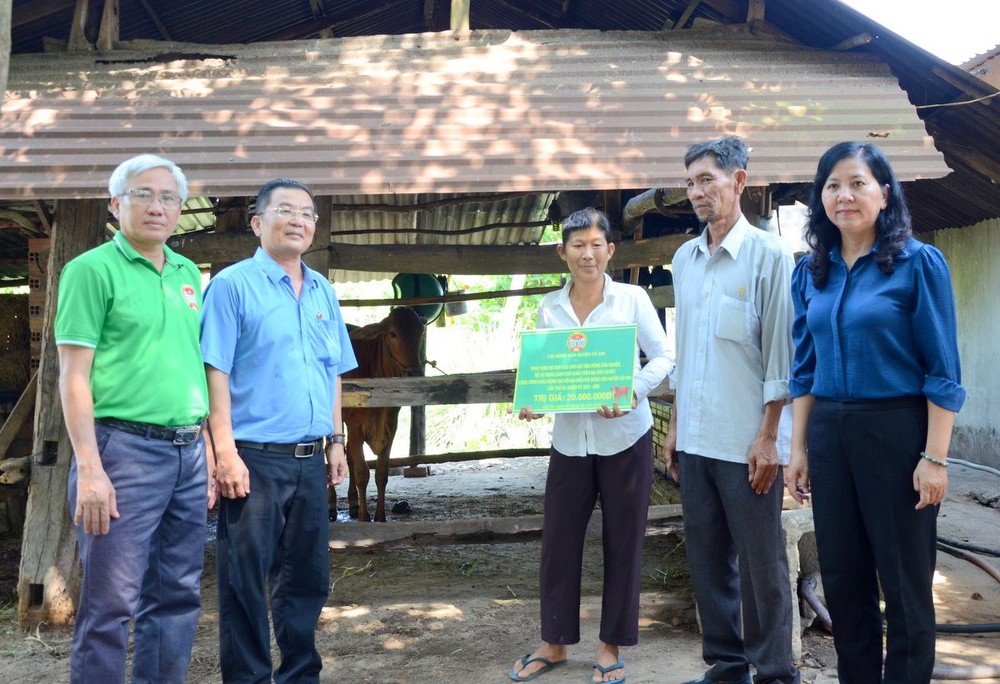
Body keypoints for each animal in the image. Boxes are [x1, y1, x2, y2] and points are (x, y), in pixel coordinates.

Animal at [336, 308, 426, 520]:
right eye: (393, 333)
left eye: (421, 332)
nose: (415, 373)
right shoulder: (356, 427)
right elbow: (362, 473)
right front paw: (364, 518)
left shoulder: (390, 427)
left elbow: (381, 474)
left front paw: (380, 517)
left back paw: (353, 503)